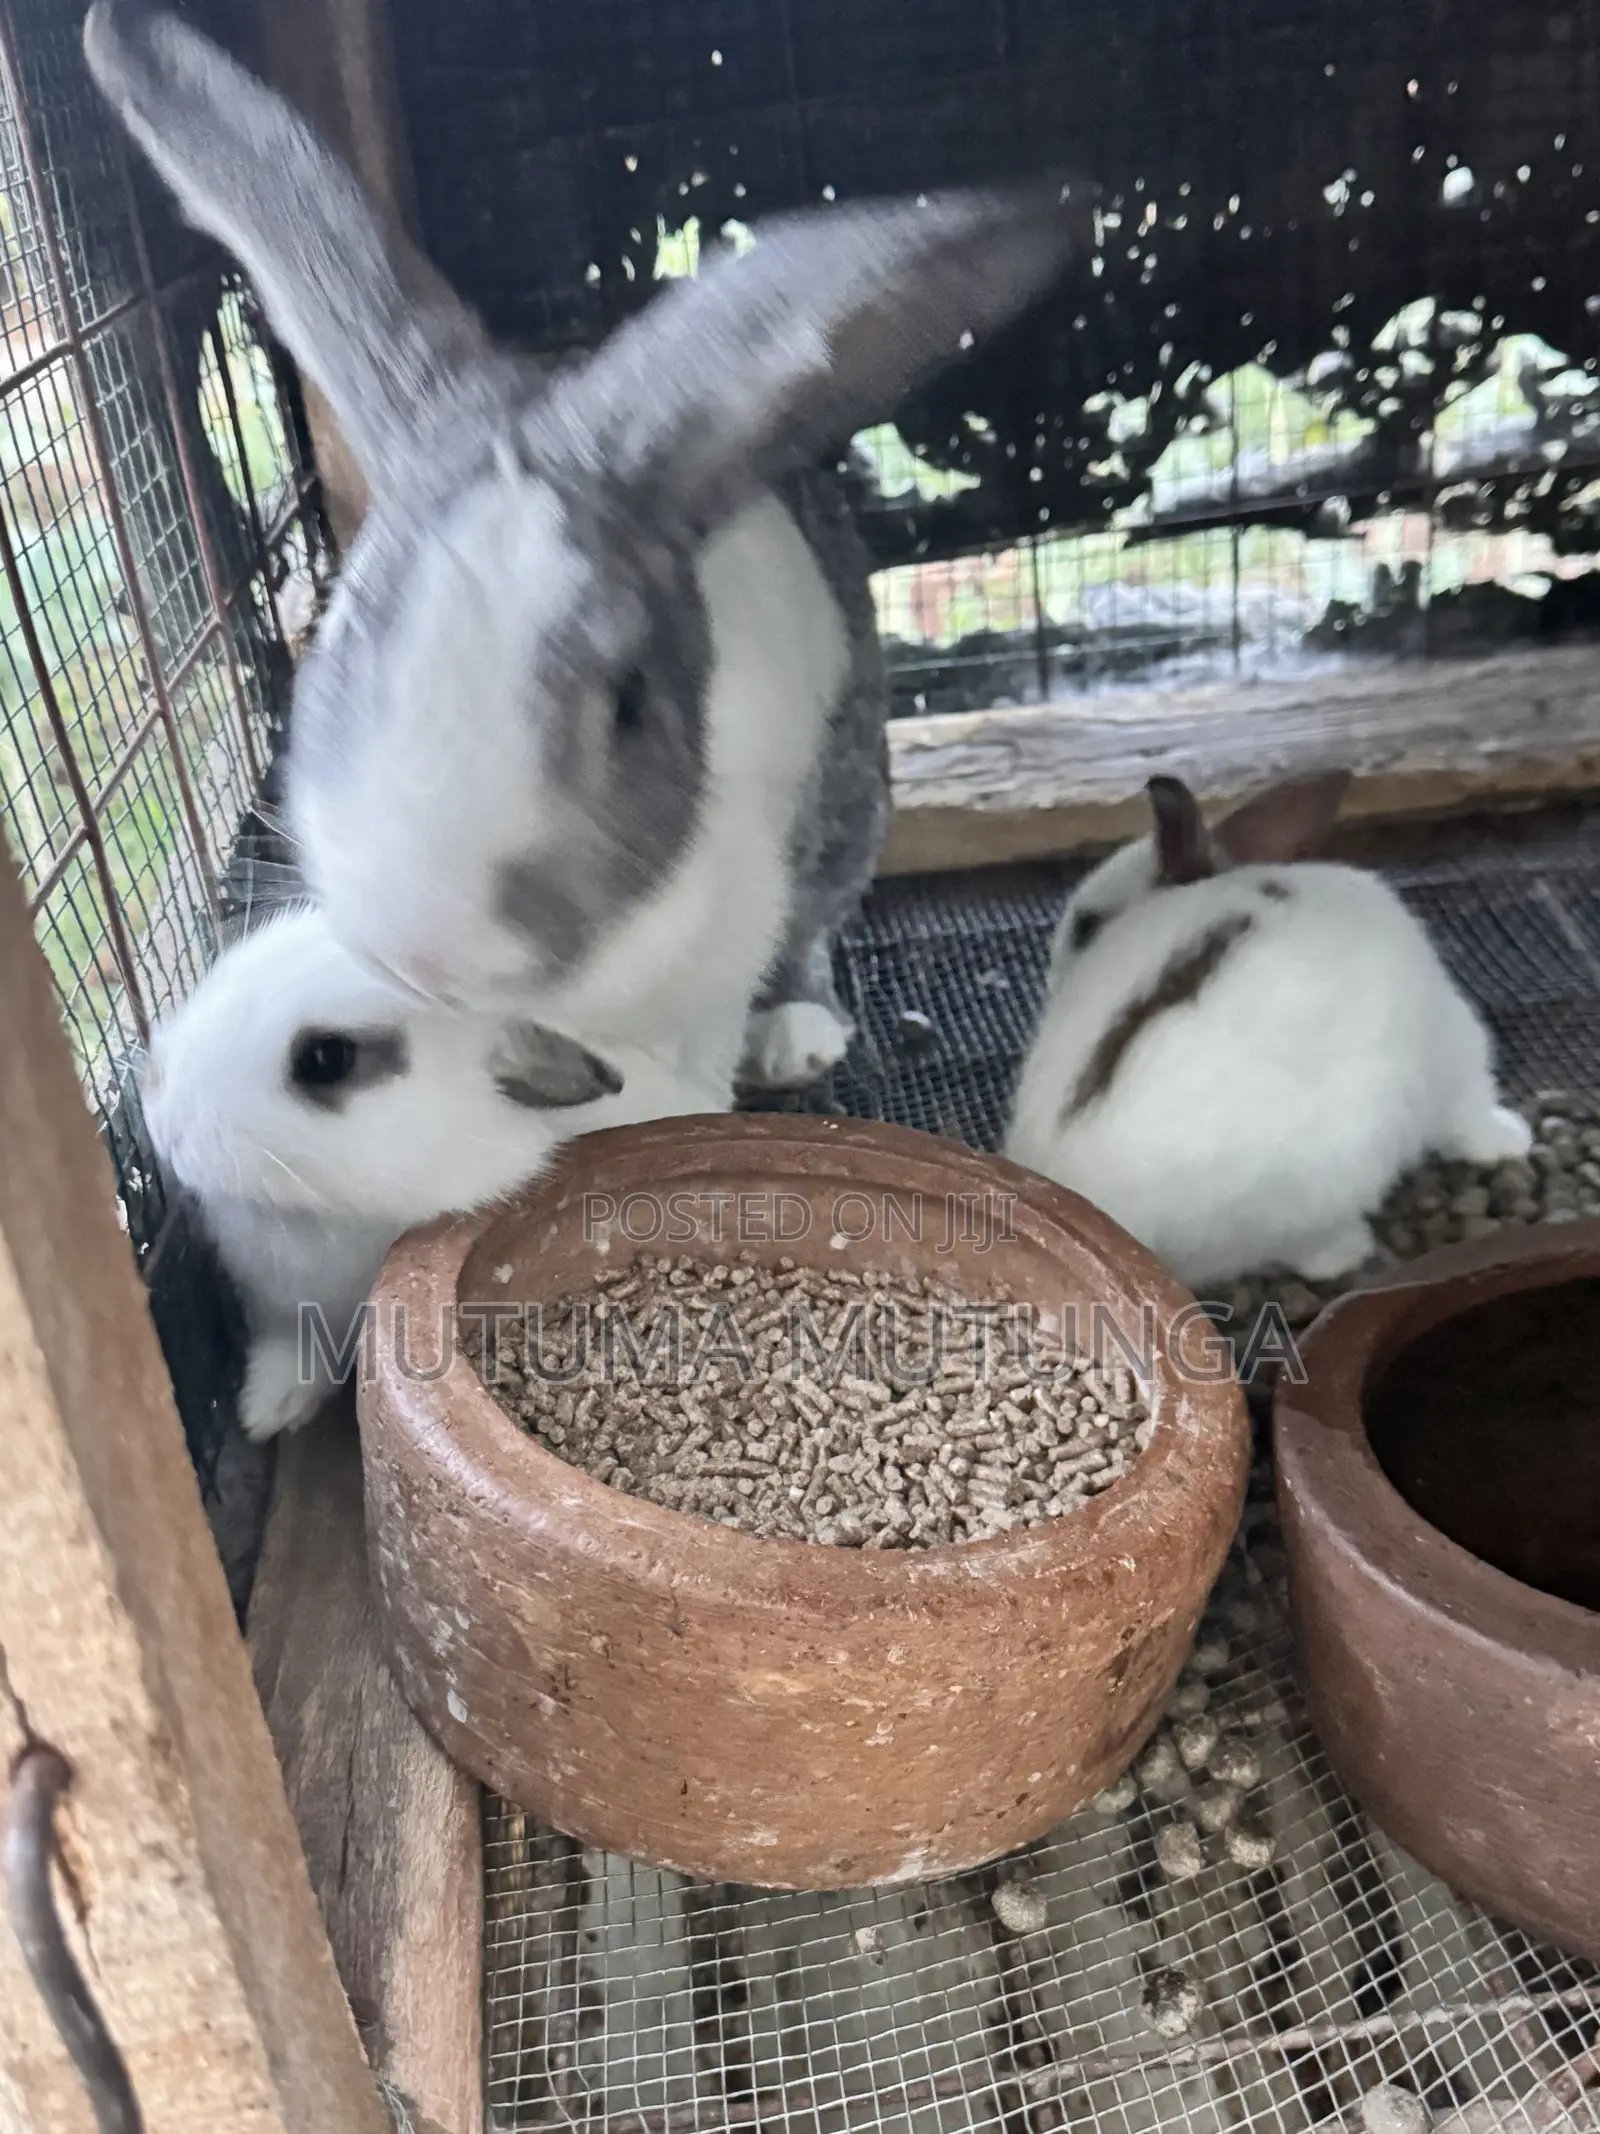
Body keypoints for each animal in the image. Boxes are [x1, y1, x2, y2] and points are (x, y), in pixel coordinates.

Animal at [85, 5, 1085, 1095]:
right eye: (341, 637)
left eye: (629, 704)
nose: (426, 952)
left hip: (846, 791)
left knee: (816, 917)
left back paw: (797, 1033)